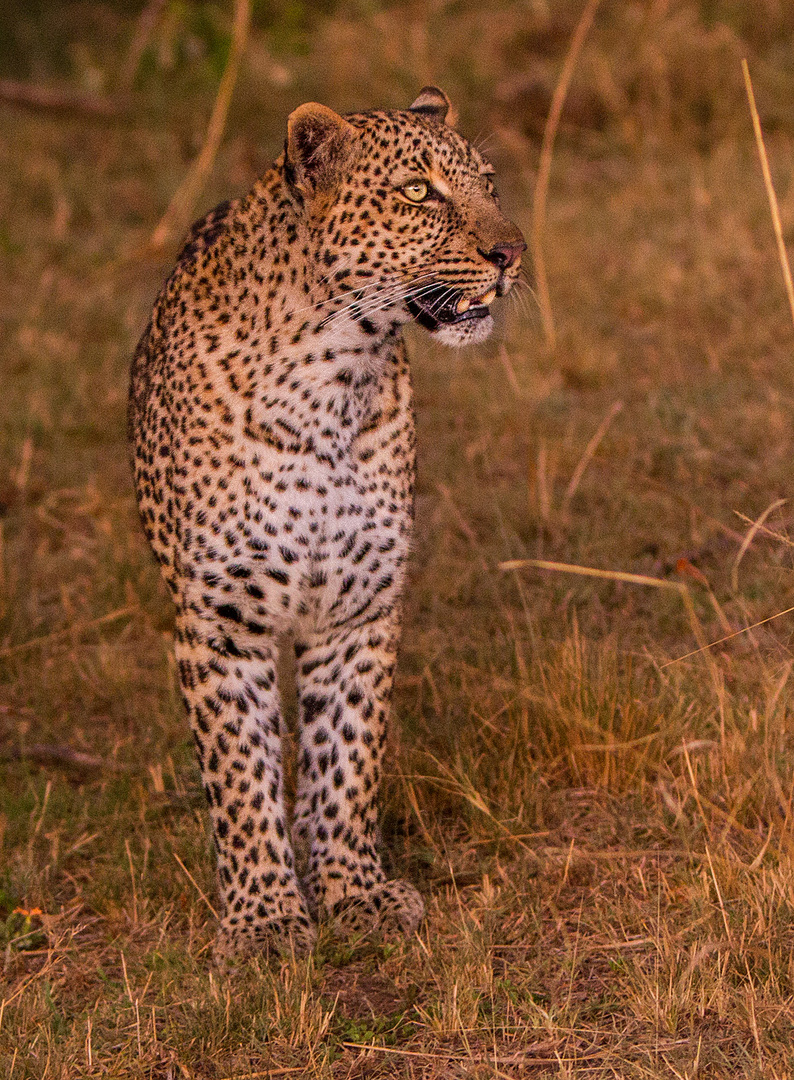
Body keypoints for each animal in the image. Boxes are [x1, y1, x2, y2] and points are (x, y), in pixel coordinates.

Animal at [129, 86, 527, 963]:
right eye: (417, 193)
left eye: (488, 184)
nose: (512, 252)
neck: (334, 379)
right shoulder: (220, 620)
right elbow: (241, 776)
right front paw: (265, 918)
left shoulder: (358, 607)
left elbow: (349, 756)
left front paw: (355, 890)